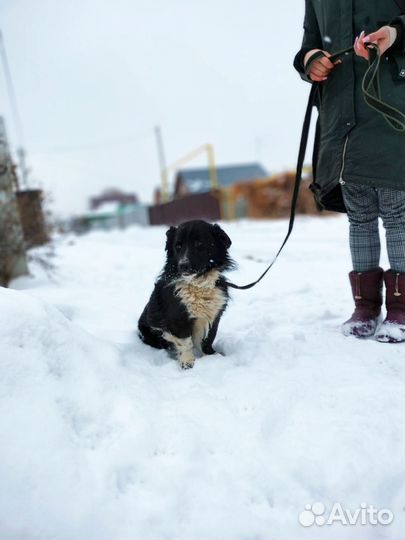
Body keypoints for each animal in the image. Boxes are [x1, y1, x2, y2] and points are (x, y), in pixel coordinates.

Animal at [138, 219, 234, 368]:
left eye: (199, 243)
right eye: (178, 246)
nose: (183, 265)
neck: (198, 283)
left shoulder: (214, 315)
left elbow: (208, 339)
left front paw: (211, 356)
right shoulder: (178, 319)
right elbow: (184, 342)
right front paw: (187, 362)